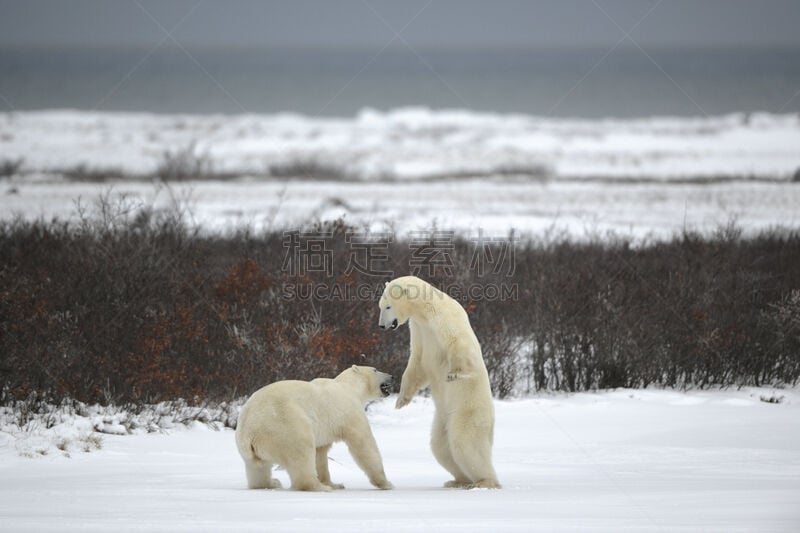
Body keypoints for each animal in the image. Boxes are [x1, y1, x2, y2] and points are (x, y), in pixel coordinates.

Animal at [236, 366, 396, 490]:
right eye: (375, 369)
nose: (391, 375)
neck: (348, 387)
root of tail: (247, 430)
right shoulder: (349, 411)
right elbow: (364, 444)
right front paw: (386, 483)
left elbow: (321, 453)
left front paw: (334, 484)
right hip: (284, 424)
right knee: (302, 452)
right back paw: (318, 486)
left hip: (250, 447)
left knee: (258, 470)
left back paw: (272, 483)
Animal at [376, 276, 500, 488]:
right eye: (380, 306)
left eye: (388, 306)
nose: (381, 326)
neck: (425, 312)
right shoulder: (419, 330)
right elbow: (417, 362)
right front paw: (401, 400)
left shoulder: (444, 319)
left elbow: (459, 344)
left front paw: (453, 375)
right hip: (443, 417)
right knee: (440, 447)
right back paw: (457, 481)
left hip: (468, 411)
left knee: (465, 443)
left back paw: (484, 481)